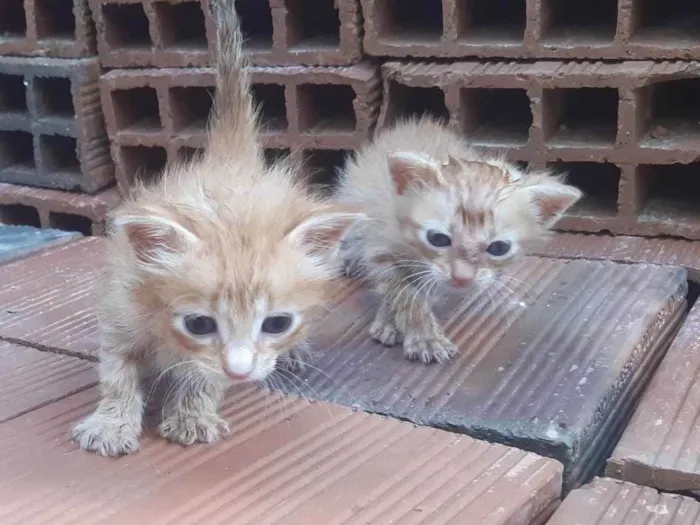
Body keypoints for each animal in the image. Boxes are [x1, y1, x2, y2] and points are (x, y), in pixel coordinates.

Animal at [74, 0, 364, 454]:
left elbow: (203, 374)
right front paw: (112, 422)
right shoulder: (120, 308)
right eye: (199, 325)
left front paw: (191, 413)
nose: (241, 372)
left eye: (277, 324)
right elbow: (116, 371)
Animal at [336, 117, 584, 364]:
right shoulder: (381, 244)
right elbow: (403, 292)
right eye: (437, 238)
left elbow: (422, 287)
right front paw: (423, 335)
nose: (462, 279)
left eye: (499, 248)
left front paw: (395, 322)